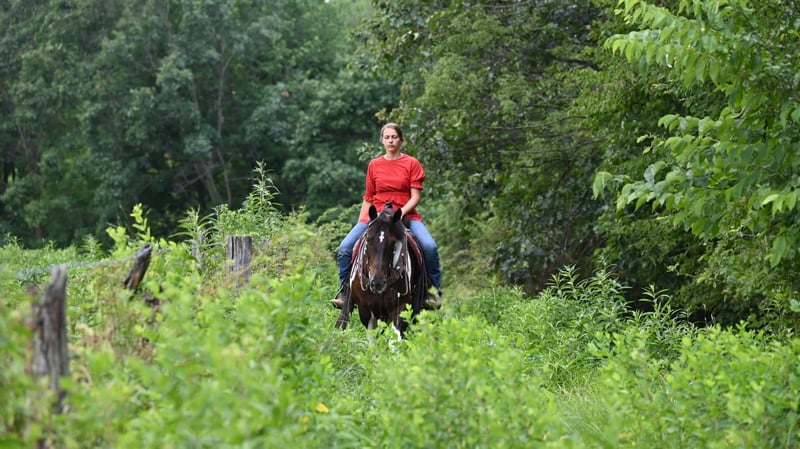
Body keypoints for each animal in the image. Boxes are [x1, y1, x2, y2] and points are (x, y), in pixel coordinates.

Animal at [335, 202, 430, 343]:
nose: (377, 282)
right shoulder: (365, 310)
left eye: (393, 242)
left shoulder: (400, 307)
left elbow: (395, 341)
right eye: (368, 239)